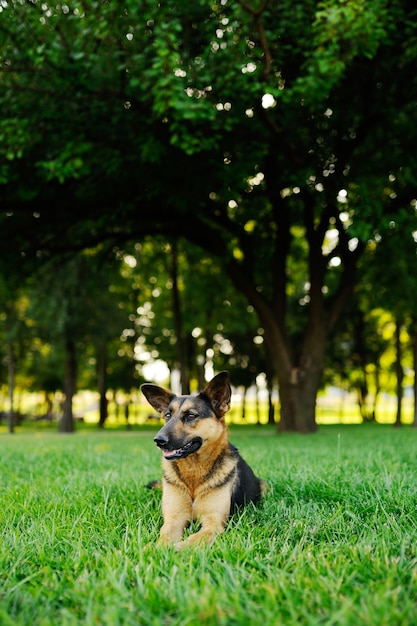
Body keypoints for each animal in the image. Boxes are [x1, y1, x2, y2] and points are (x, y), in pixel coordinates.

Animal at [140, 370, 264, 544]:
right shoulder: (174, 519)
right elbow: (164, 537)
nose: (158, 440)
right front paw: (156, 549)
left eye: (191, 415)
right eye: (167, 415)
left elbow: (193, 540)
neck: (193, 471)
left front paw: (178, 548)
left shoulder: (213, 523)